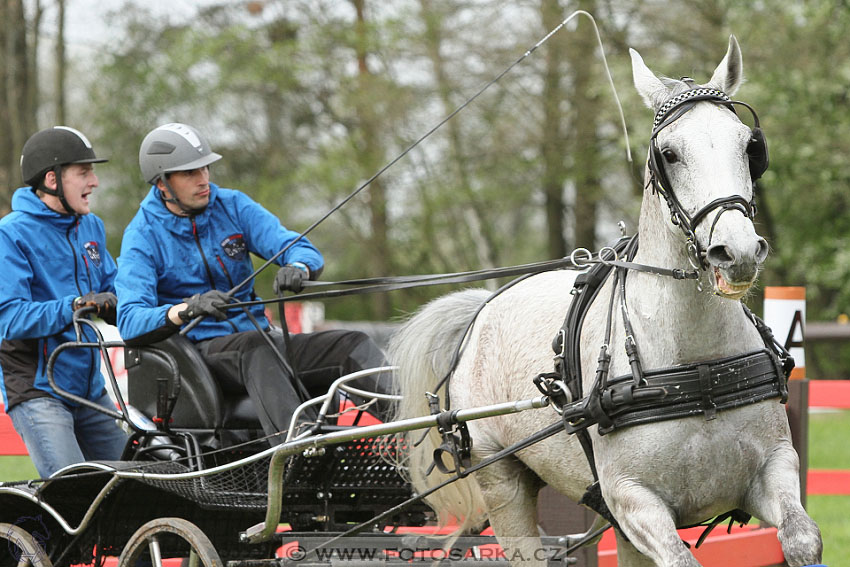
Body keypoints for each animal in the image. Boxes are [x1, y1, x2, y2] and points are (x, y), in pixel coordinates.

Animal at [388, 36, 820, 567]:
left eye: (749, 146)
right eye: (669, 154)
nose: (736, 251)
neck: (696, 368)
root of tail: (482, 311)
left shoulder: (772, 470)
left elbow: (802, 539)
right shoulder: (633, 498)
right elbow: (681, 558)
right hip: (504, 484)